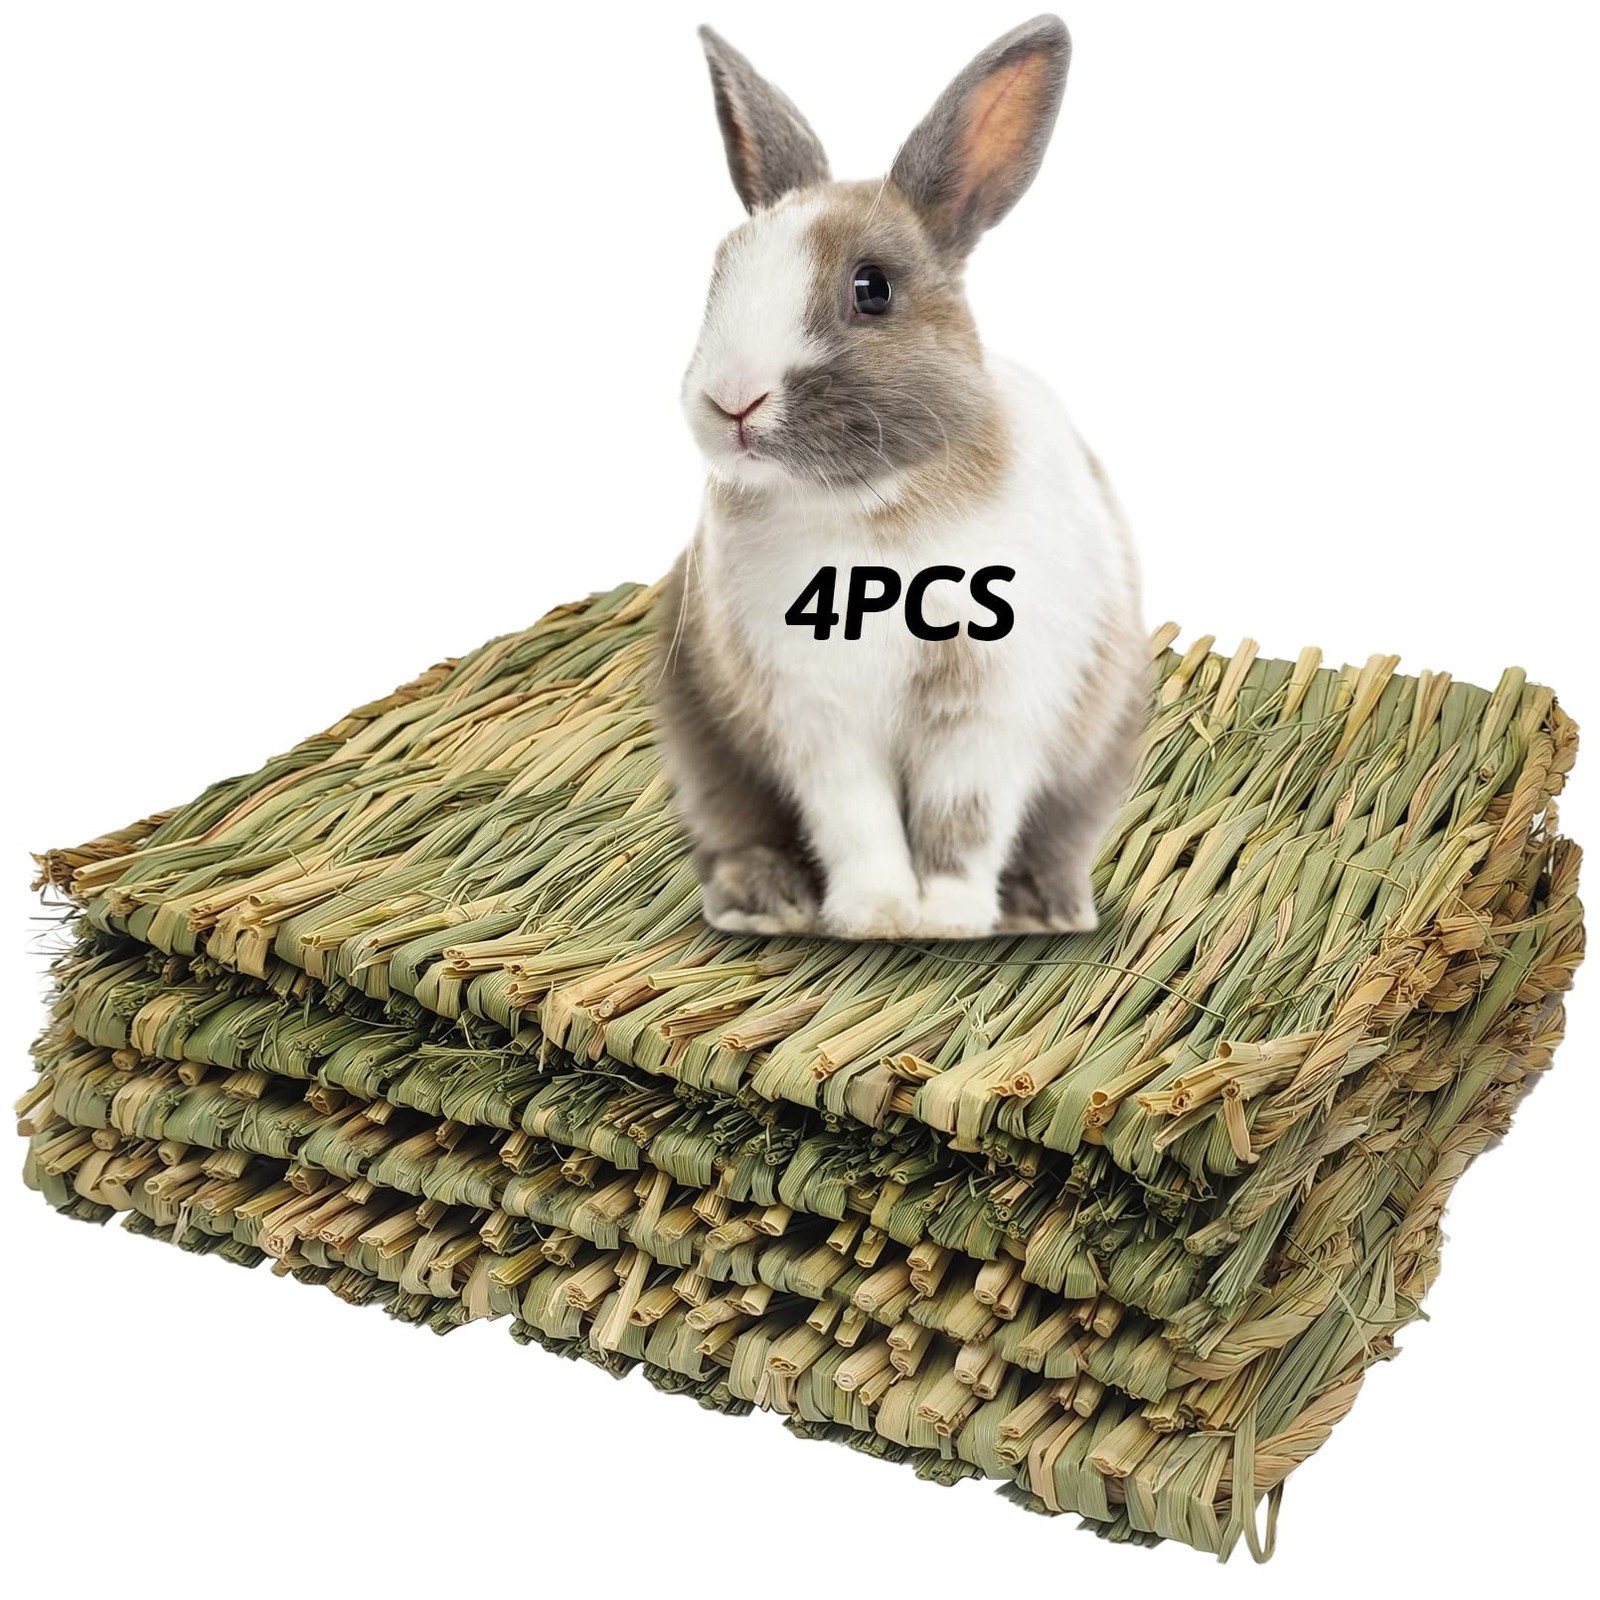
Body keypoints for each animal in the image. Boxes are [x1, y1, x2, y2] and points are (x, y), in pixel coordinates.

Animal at [655, 14, 1147, 941]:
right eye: (720, 272)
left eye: (871, 288)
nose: (731, 401)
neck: (871, 508)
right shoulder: (814, 712)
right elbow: (857, 816)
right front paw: (878, 914)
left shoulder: (991, 703)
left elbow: (965, 816)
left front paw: (947, 917)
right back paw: (765, 902)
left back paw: (1046, 909)